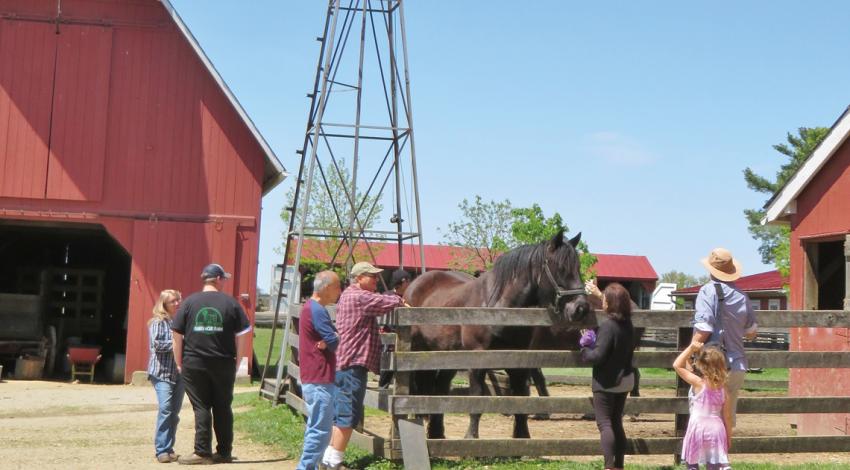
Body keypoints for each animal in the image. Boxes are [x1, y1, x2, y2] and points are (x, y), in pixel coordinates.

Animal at [404, 229, 588, 438]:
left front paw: (522, 436)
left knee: (440, 389)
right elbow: (477, 398)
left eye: (578, 267)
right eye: (561, 268)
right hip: (417, 352)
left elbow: (521, 398)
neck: (499, 307)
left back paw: (437, 433)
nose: (581, 308)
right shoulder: (477, 361)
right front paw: (471, 436)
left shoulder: (518, 363)